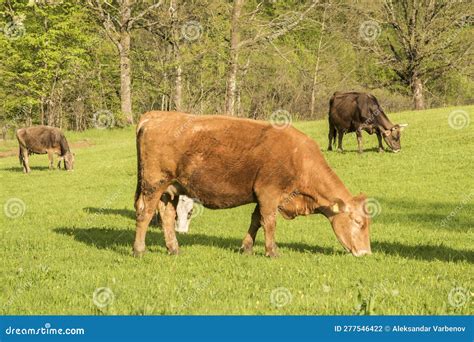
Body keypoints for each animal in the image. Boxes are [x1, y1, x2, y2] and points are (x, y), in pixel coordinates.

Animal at [132, 111, 370, 258]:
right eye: (358, 222)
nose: (366, 252)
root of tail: (155, 116)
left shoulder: (261, 196)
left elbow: (256, 220)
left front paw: (246, 247)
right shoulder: (269, 193)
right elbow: (269, 222)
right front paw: (272, 251)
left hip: (169, 189)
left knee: (166, 216)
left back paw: (173, 248)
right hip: (153, 184)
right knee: (145, 214)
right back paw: (139, 250)